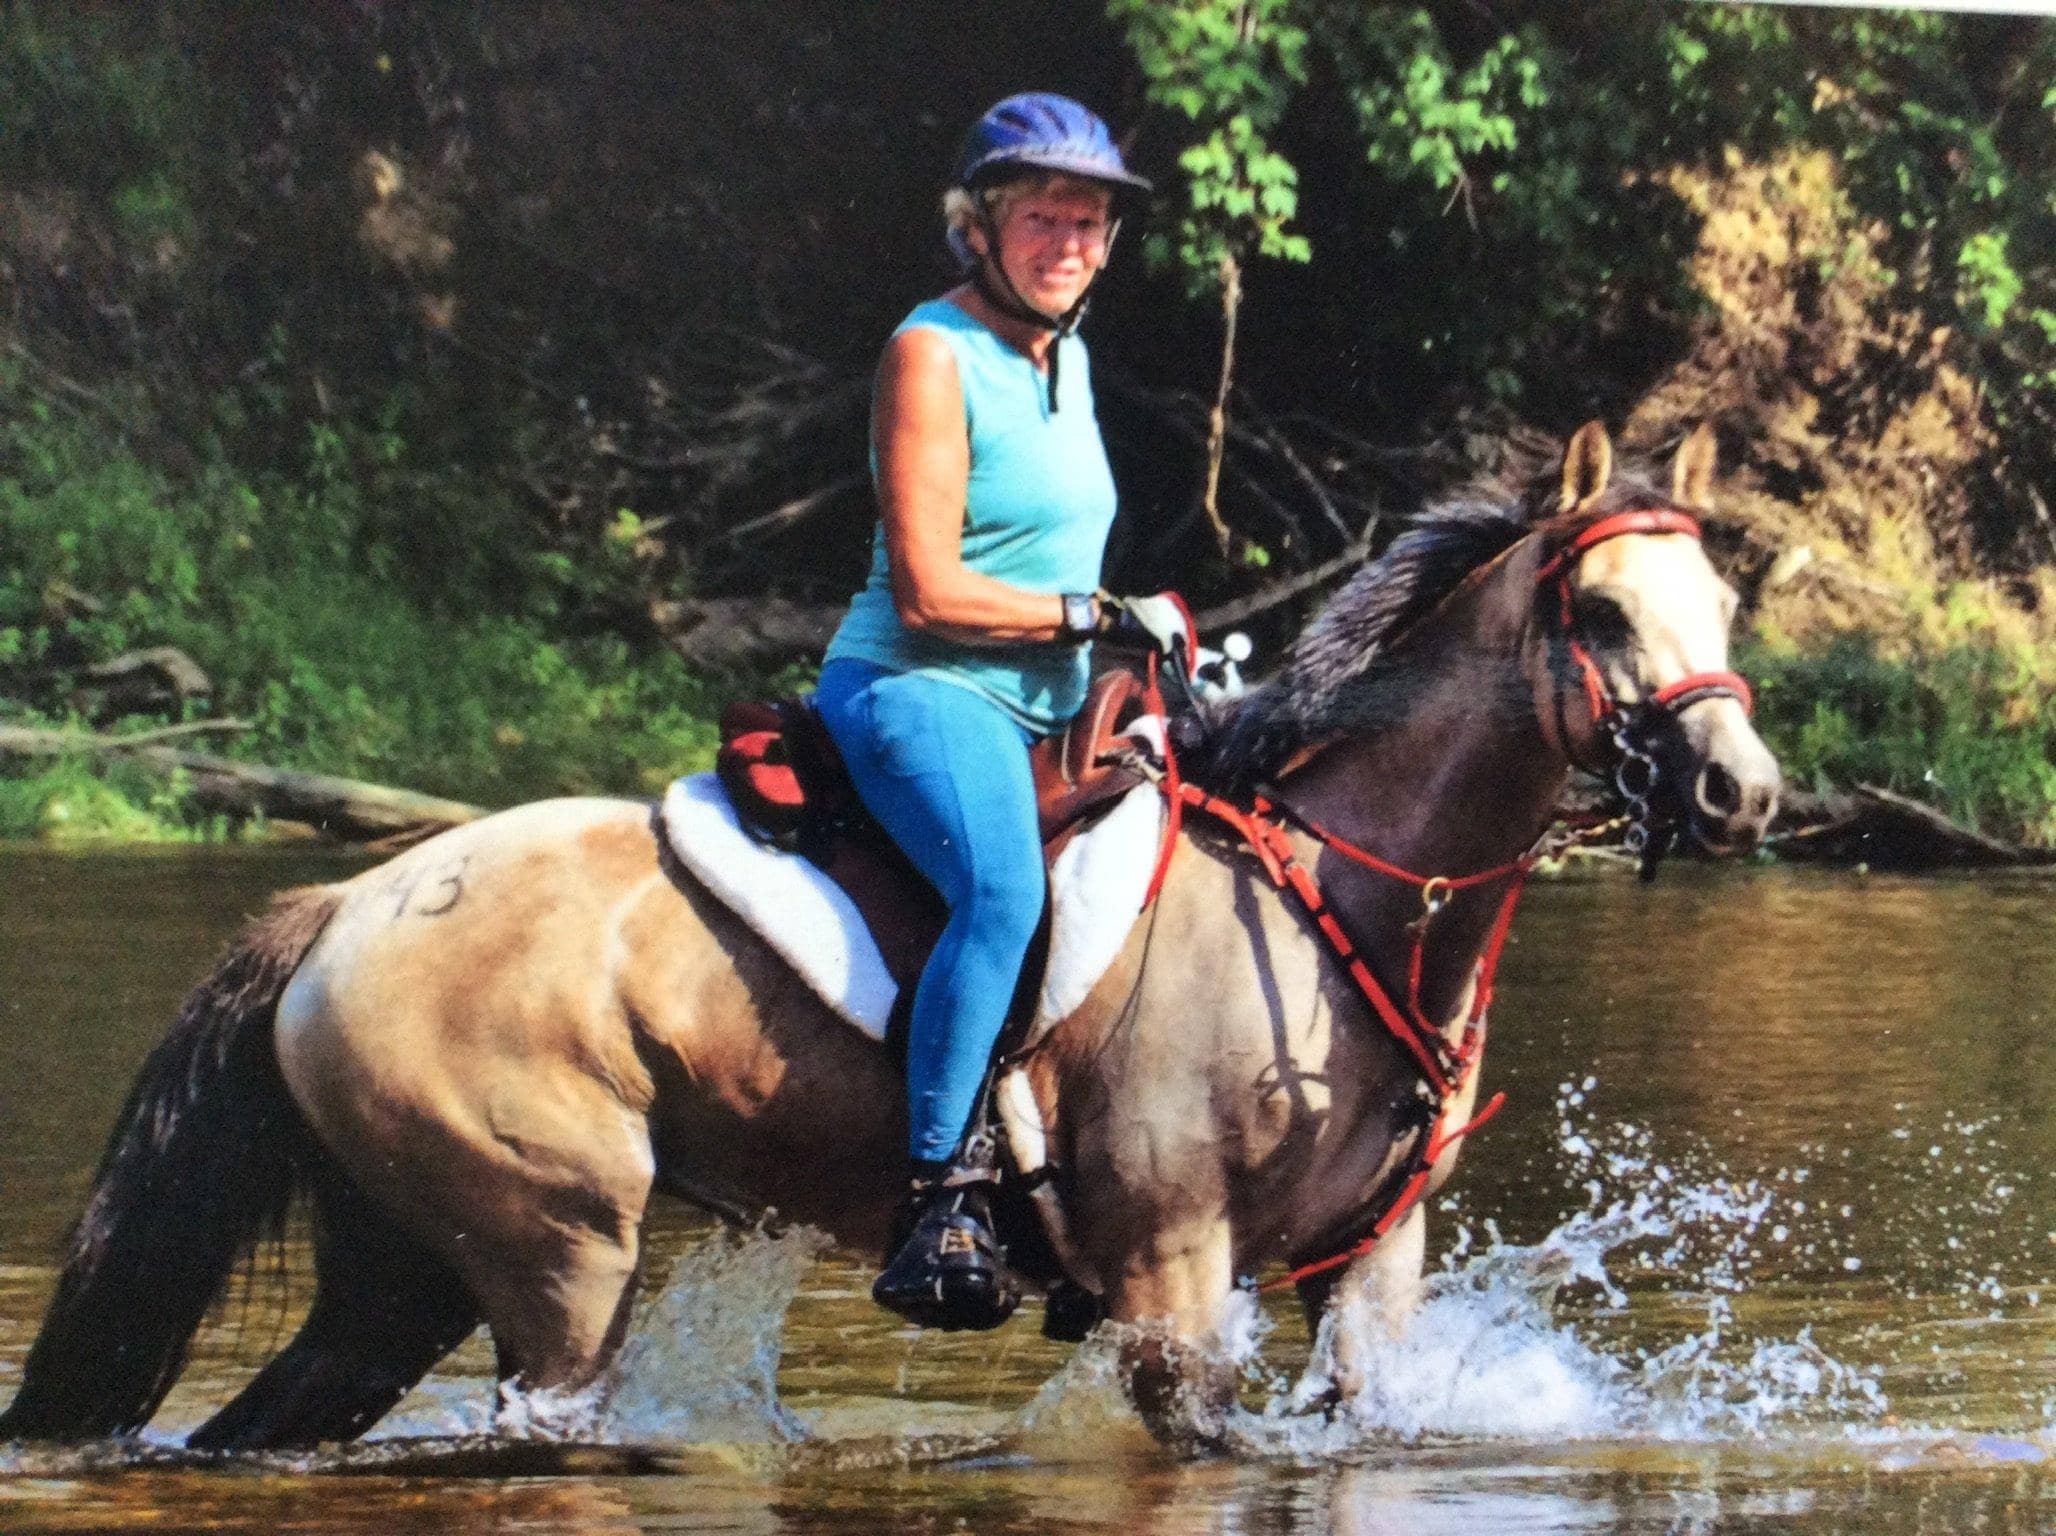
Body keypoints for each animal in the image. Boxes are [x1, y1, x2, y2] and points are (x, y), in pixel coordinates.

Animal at [0, 421, 1778, 1450]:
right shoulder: (1172, 1277)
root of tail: (343, 906)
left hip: (402, 1268)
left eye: (1725, 610)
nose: (1741, 788)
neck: (1331, 898)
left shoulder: (1371, 1267)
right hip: (552, 1254)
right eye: (1602, 615)